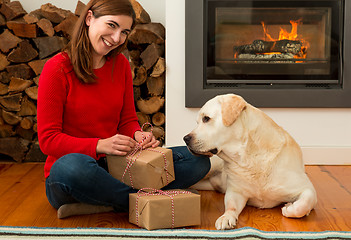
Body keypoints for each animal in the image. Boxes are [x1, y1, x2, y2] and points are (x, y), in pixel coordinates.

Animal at [186, 93, 318, 230]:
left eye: (206, 118)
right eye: (197, 122)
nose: (185, 139)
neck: (249, 157)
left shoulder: (307, 188)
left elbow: (303, 205)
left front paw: (289, 208)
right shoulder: (236, 191)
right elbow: (231, 206)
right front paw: (226, 217)